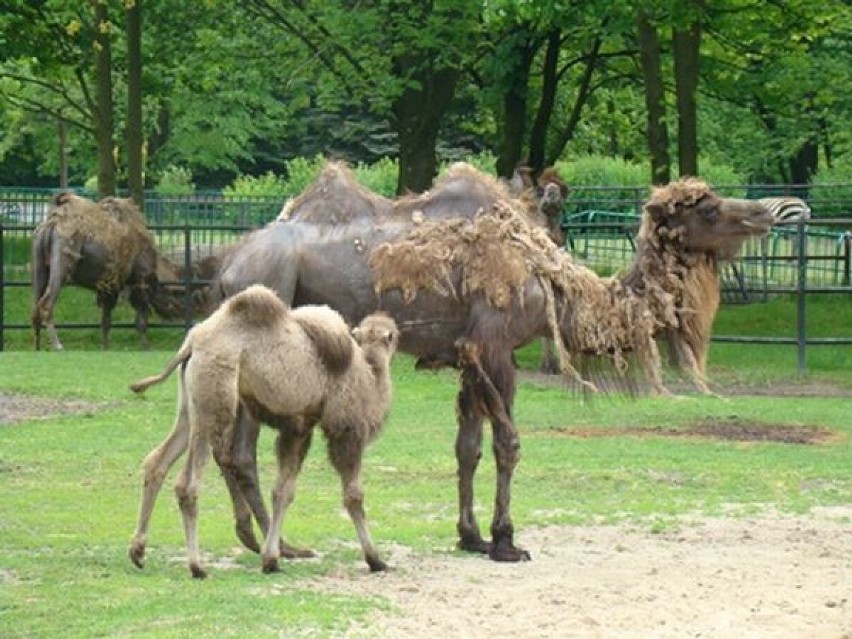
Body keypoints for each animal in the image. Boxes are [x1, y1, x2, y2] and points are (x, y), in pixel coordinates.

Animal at [32, 192, 185, 350]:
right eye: (178, 294)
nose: (182, 312)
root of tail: (53, 222)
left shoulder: (107, 286)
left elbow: (106, 321)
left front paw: (105, 347)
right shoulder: (139, 282)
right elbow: (140, 320)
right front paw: (146, 347)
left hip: (39, 264)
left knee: (36, 305)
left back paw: (37, 347)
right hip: (62, 264)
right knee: (46, 304)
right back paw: (58, 346)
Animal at [128, 284, 402, 580]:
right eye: (395, 336)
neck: (369, 375)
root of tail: (192, 344)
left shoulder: (298, 427)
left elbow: (283, 491)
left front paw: (271, 558)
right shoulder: (344, 429)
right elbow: (353, 495)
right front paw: (375, 559)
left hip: (190, 408)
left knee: (157, 461)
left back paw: (138, 551)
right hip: (215, 401)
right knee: (188, 485)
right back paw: (197, 566)